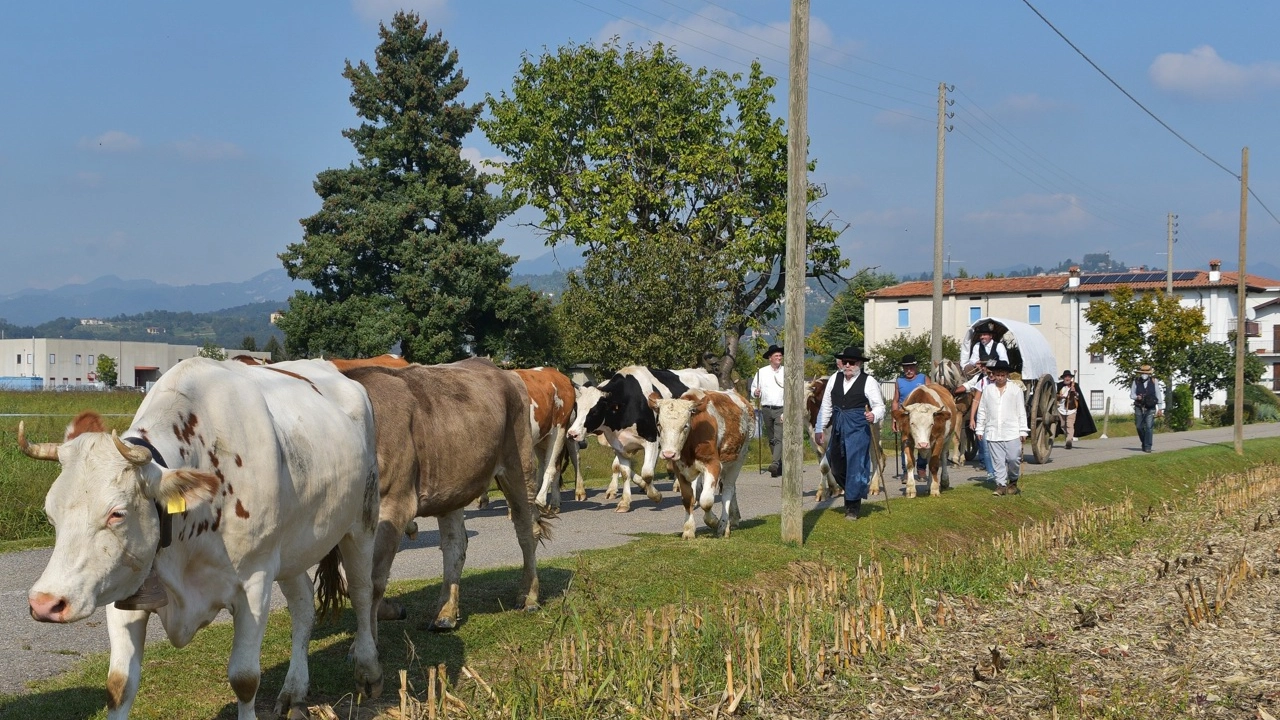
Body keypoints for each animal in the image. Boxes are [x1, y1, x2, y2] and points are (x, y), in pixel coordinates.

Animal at [20, 358, 378, 717]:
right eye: (50, 513)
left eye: (116, 513)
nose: (45, 603)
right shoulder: (123, 586)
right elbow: (119, 686)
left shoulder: (256, 582)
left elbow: (245, 679)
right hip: (291, 550)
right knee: (303, 606)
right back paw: (294, 692)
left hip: (362, 522)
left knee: (362, 593)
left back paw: (367, 669)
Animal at [337, 356, 547, 627]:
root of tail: (500, 370)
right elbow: (353, 579)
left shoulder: (394, 504)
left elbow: (371, 579)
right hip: (453, 482)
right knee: (455, 544)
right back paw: (445, 613)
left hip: (519, 465)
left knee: (527, 529)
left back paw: (528, 596)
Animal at [650, 389, 747, 535]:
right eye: (659, 425)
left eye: (685, 426)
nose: (669, 454)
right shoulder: (680, 469)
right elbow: (688, 499)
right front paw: (688, 530)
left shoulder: (713, 465)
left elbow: (706, 501)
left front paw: (714, 522)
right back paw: (733, 519)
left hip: (737, 461)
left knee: (728, 489)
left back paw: (724, 525)